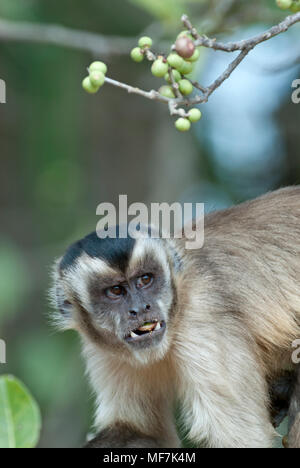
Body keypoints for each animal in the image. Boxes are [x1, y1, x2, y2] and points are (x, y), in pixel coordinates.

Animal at [50, 185, 300, 448]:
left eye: (145, 279)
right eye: (115, 291)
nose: (141, 308)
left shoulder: (202, 320)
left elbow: (242, 439)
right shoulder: (101, 348)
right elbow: (141, 432)